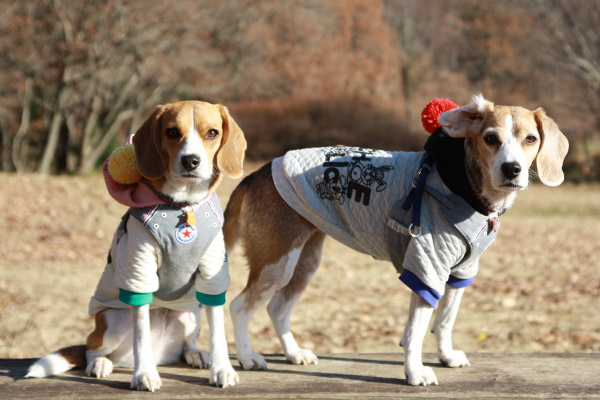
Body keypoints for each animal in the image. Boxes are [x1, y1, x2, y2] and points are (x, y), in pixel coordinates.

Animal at [25, 100, 246, 390]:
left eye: (212, 133)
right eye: (172, 132)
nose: (191, 161)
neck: (181, 205)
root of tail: (162, 353)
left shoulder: (212, 271)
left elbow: (218, 328)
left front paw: (222, 369)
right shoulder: (139, 269)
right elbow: (141, 334)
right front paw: (144, 374)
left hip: (190, 315)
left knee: (186, 344)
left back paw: (194, 353)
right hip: (113, 321)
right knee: (91, 349)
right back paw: (101, 363)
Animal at [224, 95, 568, 386]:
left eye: (531, 139)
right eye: (490, 138)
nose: (512, 169)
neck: (464, 187)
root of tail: (257, 173)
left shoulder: (460, 273)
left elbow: (445, 320)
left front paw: (446, 356)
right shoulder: (426, 268)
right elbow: (416, 331)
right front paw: (415, 373)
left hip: (303, 263)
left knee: (278, 309)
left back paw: (294, 353)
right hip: (276, 263)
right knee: (240, 306)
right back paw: (247, 357)